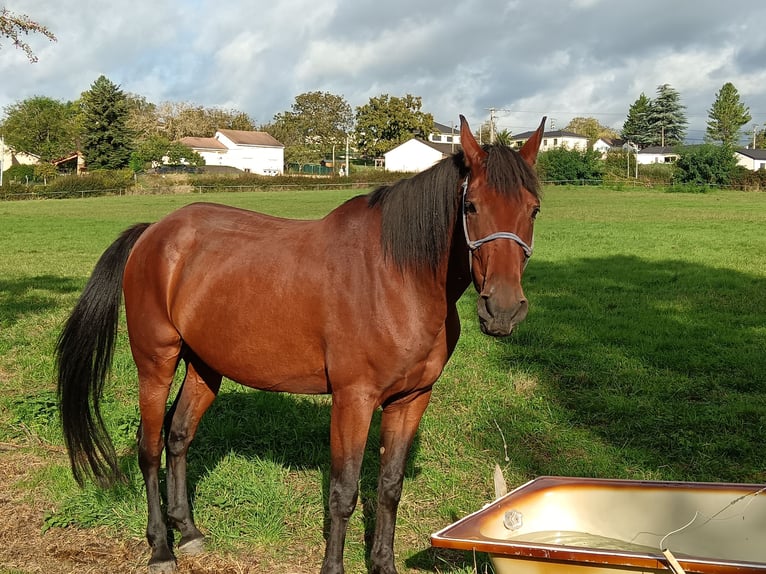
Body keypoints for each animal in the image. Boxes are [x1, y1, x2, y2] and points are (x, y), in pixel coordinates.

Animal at [55, 115, 544, 572]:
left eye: (534, 209)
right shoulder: (353, 400)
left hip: (204, 366)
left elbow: (389, 487)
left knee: (178, 437)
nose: (502, 310)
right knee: (150, 448)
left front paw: (382, 563)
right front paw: (334, 567)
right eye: (472, 206)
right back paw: (160, 548)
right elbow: (344, 492)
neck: (397, 276)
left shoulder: (411, 399)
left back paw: (189, 532)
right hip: (155, 362)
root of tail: (154, 232)